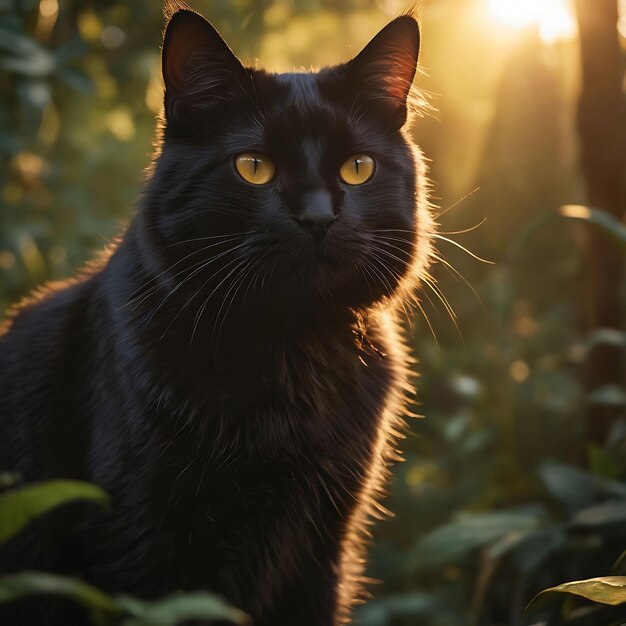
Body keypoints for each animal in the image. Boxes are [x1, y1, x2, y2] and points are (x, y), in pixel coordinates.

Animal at [0, 2, 428, 620]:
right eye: (253, 167)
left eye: (358, 168)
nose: (318, 217)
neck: (290, 355)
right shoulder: (138, 548)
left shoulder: (324, 550)